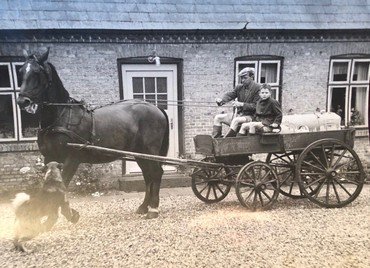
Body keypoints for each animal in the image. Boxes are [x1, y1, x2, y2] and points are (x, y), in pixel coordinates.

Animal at [15, 48, 169, 220]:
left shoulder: (72, 159)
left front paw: (68, 214)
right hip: (140, 153)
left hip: (149, 151)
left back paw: (153, 209)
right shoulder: (50, 158)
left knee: (156, 173)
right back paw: (143, 207)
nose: (22, 101)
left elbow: (63, 184)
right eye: (21, 71)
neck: (60, 116)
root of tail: (156, 108)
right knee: (148, 175)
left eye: (37, 72)